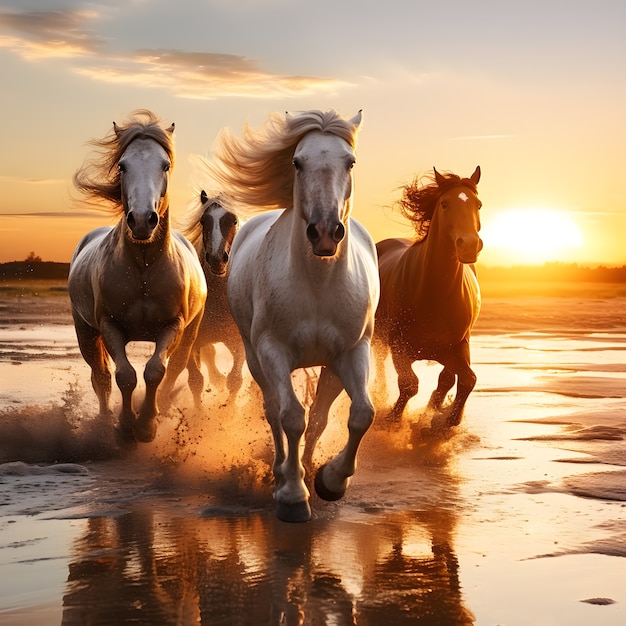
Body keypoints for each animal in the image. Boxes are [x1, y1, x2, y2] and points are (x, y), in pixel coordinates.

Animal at [68, 111, 206, 444]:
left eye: (165, 165)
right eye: (122, 165)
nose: (142, 220)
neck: (144, 268)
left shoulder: (173, 326)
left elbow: (155, 372)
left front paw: (147, 425)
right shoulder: (109, 326)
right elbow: (124, 376)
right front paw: (125, 426)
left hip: (190, 334)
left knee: (175, 369)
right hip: (85, 332)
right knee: (101, 377)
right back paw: (105, 422)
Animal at [179, 190, 245, 404]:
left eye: (233, 220)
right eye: (203, 221)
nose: (217, 259)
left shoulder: (239, 344)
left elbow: (235, 380)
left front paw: (230, 411)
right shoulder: (190, 344)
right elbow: (196, 381)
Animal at [207, 108, 378, 520]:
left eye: (350, 161)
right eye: (298, 162)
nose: (325, 233)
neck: (316, 283)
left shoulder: (352, 351)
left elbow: (361, 414)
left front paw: (330, 481)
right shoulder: (274, 352)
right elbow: (290, 417)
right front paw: (292, 494)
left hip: (331, 367)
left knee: (320, 416)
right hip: (255, 358)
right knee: (274, 412)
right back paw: (283, 472)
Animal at [372, 163, 480, 432]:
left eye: (478, 204)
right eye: (444, 204)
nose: (469, 245)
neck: (434, 294)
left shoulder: (457, 348)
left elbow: (465, 380)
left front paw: (446, 420)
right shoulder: (399, 345)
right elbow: (409, 383)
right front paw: (392, 418)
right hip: (378, 336)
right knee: (379, 366)